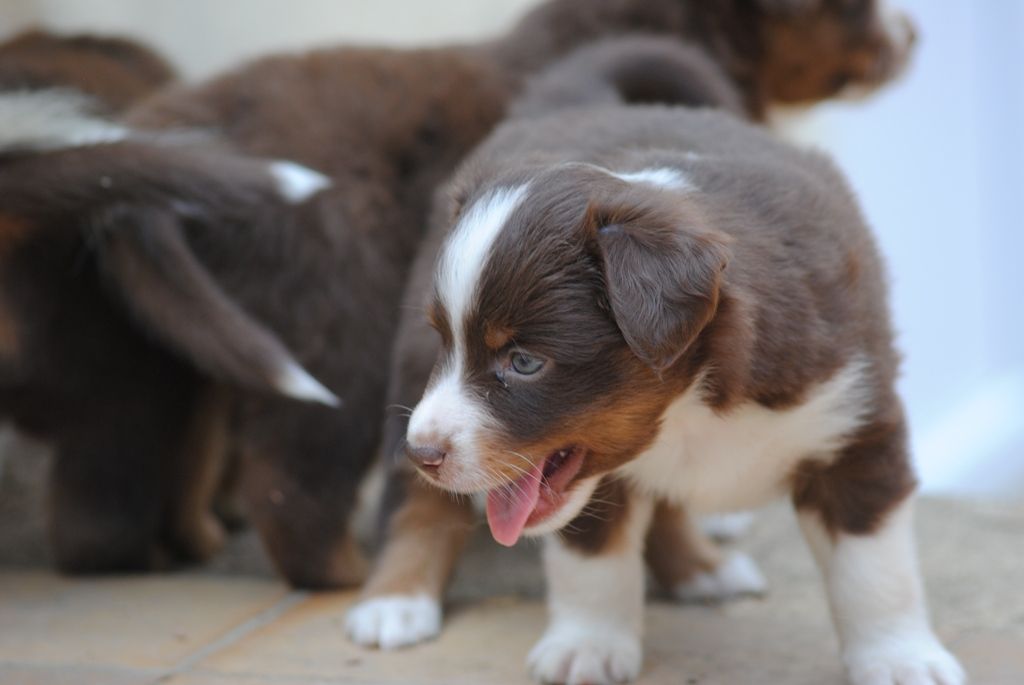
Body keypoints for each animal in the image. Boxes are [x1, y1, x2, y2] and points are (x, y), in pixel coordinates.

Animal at [0, 0, 914, 583]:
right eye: (850, 8)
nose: (914, 34)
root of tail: (171, 119)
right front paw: (698, 560)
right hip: (338, 322)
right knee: (283, 476)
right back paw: (344, 575)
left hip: (172, 339)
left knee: (163, 446)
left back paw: (187, 539)